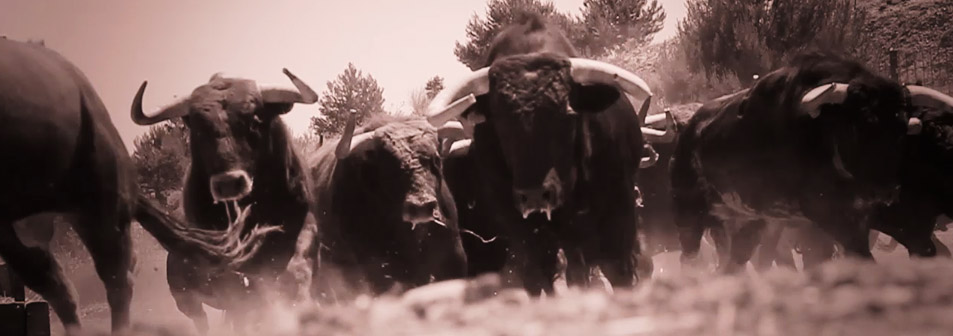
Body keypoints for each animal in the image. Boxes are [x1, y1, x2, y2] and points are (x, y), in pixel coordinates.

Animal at [420, 14, 664, 296]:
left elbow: (619, 269)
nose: (535, 195)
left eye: (568, 114)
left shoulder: (618, 209)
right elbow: (539, 276)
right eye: (500, 121)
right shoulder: (521, 226)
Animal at [668, 52, 952, 272]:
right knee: (690, 256)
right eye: (860, 124)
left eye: (901, 127)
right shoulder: (834, 217)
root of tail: (687, 131)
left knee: (735, 262)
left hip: (748, 222)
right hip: (689, 216)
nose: (885, 191)